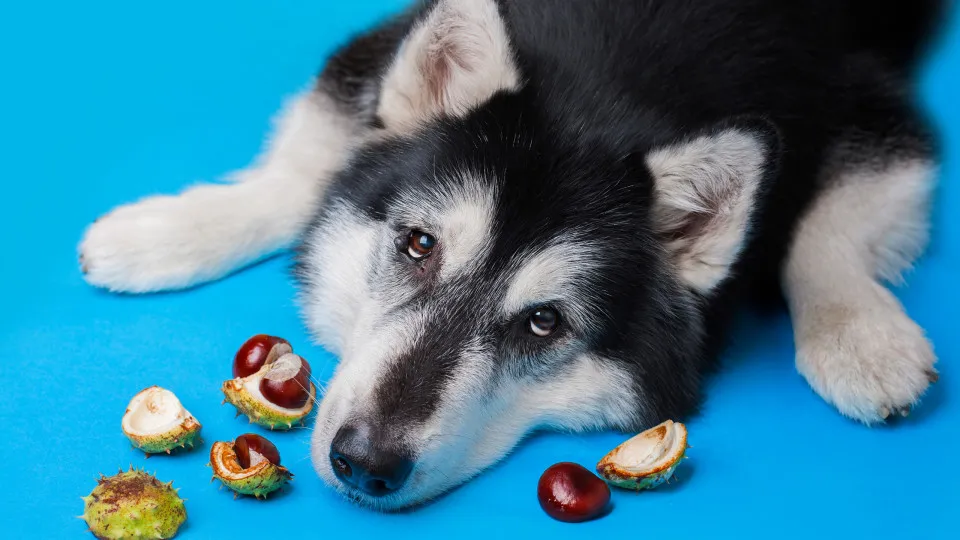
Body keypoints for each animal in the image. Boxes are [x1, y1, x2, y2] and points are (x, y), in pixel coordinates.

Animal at [80, 0, 944, 506]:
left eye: (544, 324)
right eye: (418, 244)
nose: (365, 463)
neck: (611, 88)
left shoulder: (873, 110)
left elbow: (820, 234)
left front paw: (861, 339)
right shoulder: (371, 47)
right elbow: (306, 170)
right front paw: (164, 232)